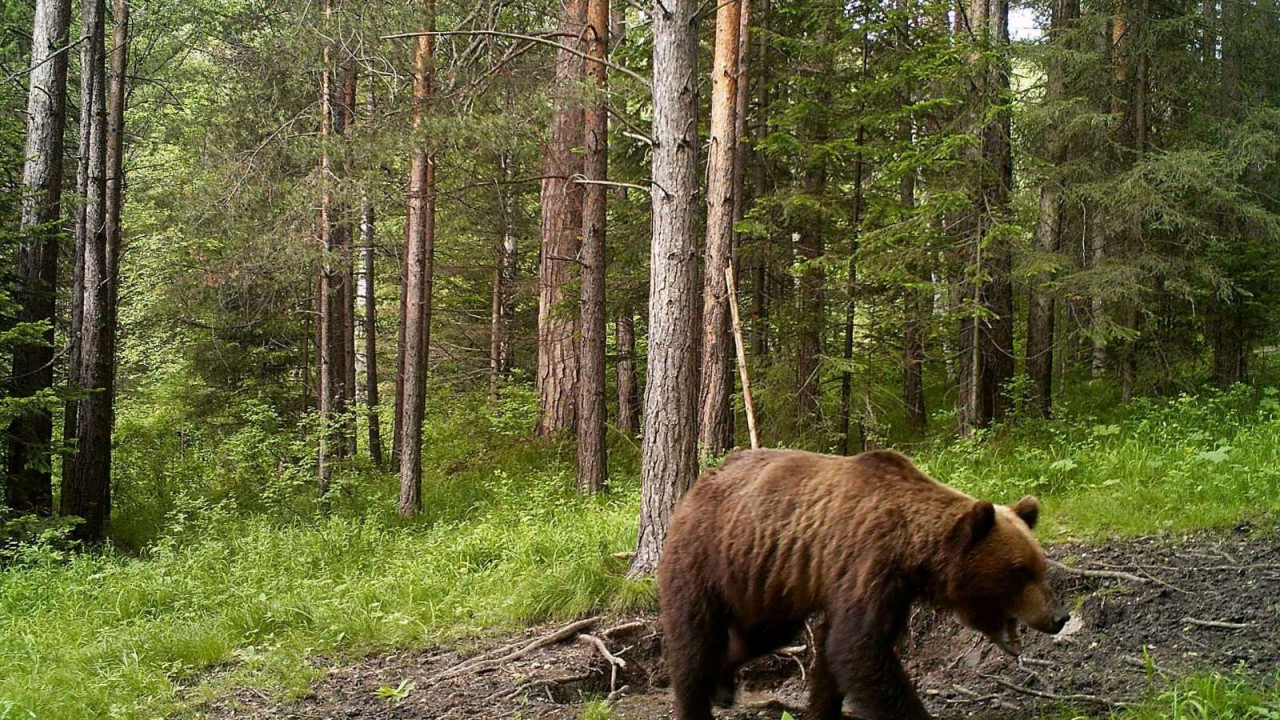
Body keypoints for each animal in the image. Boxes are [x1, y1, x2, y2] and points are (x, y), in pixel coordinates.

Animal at [655, 445, 1064, 712]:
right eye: (1019, 571)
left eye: (1040, 566)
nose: (1058, 617)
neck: (912, 551)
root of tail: (699, 483)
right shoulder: (869, 563)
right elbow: (858, 648)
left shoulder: (891, 590)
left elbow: (838, 650)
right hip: (701, 555)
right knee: (693, 639)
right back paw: (696, 697)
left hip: (765, 578)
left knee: (762, 634)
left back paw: (723, 684)